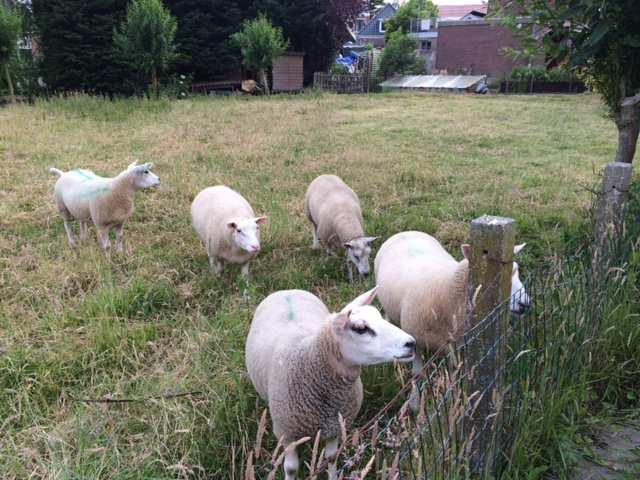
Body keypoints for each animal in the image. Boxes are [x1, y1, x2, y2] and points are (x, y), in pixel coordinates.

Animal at [245, 286, 416, 478]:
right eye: (360, 328)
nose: (411, 343)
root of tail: (287, 290)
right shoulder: (286, 434)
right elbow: (291, 469)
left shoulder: (335, 427)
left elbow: (331, 458)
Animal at [372, 232, 528, 408]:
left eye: (517, 270)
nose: (524, 304)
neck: (447, 292)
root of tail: (406, 232)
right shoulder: (416, 340)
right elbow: (417, 374)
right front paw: (414, 403)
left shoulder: (456, 345)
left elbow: (455, 373)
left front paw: (457, 399)